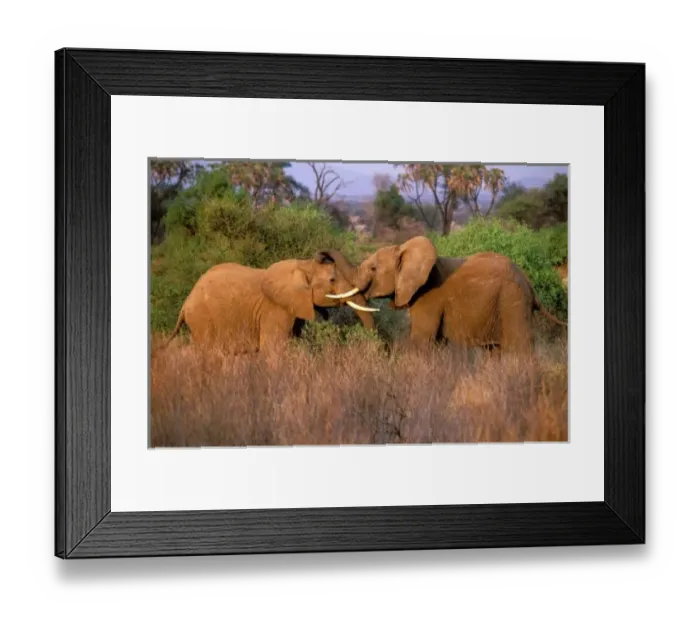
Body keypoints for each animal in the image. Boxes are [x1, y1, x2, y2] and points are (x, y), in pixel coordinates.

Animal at [164, 249, 378, 353]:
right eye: (332, 280)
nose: (322, 254)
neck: (303, 266)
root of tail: (185, 304)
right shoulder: (275, 309)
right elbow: (273, 349)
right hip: (202, 319)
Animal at [333, 235, 566, 355]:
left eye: (373, 268)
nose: (324, 254)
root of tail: (529, 284)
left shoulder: (429, 296)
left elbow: (421, 339)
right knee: (493, 351)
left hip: (512, 300)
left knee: (520, 346)